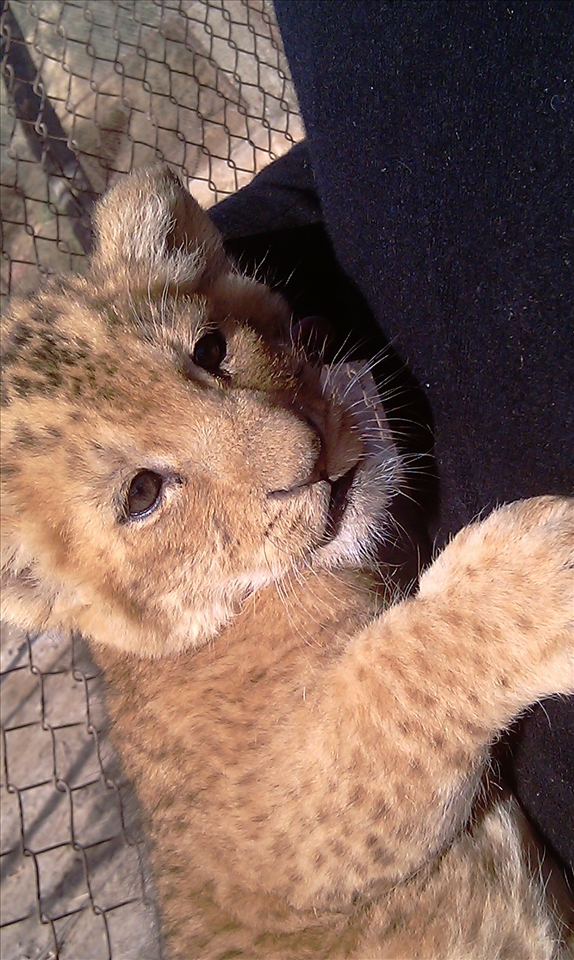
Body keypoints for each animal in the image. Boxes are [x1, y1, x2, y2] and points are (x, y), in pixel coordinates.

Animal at [1, 166, 572, 959]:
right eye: (142, 494)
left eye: (210, 351)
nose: (308, 458)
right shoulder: (279, 840)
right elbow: (391, 680)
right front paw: (540, 578)